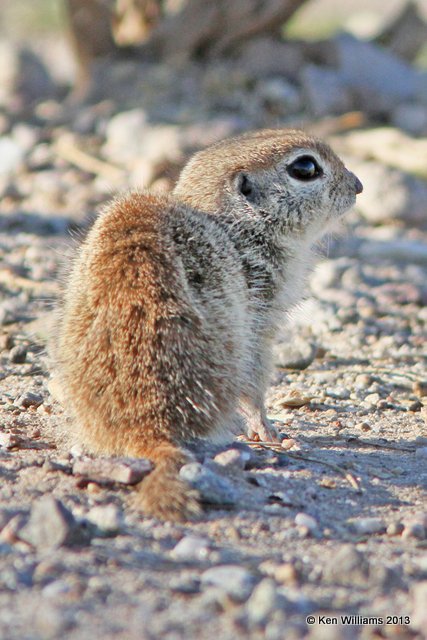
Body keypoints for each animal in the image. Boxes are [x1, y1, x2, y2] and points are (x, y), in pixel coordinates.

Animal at [52, 129, 362, 520]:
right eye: (305, 167)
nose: (358, 185)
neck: (236, 227)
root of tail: (147, 427)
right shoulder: (258, 317)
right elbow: (254, 384)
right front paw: (268, 431)